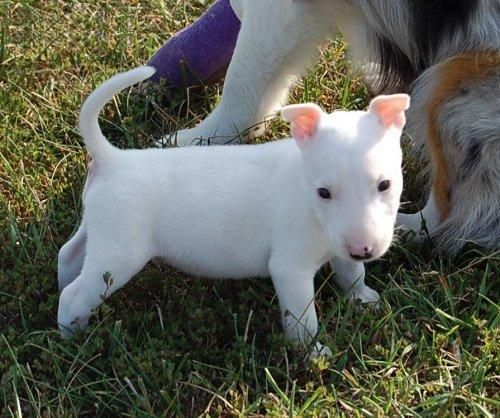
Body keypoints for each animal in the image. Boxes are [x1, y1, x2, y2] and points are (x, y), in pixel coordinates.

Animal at [57, 68, 410, 356]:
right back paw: (71, 335)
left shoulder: (337, 247)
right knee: (76, 294)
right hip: (119, 256)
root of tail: (113, 159)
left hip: (98, 233)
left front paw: (363, 298)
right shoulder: (290, 268)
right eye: (324, 193)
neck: (303, 183)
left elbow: (351, 273)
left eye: (385, 185)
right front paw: (312, 354)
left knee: (68, 254)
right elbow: (302, 319)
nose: (363, 249)